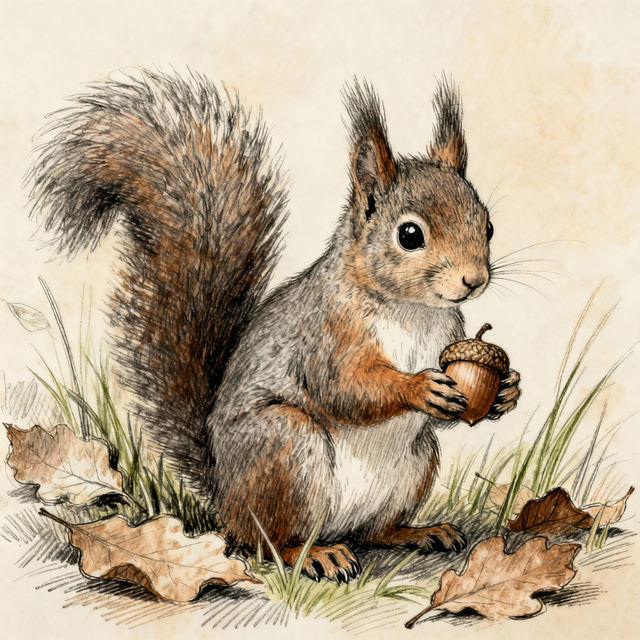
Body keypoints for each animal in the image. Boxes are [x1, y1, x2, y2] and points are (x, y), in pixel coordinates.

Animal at [29, 69, 521, 582]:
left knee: (374, 531)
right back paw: (314, 554)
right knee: (267, 541)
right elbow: (345, 388)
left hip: (415, 463)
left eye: (487, 225)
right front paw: (419, 387)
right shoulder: (327, 334)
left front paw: (506, 391)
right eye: (409, 235)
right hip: (286, 449)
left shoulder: (448, 340)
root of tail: (224, 499)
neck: (412, 309)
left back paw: (417, 532)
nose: (474, 280)